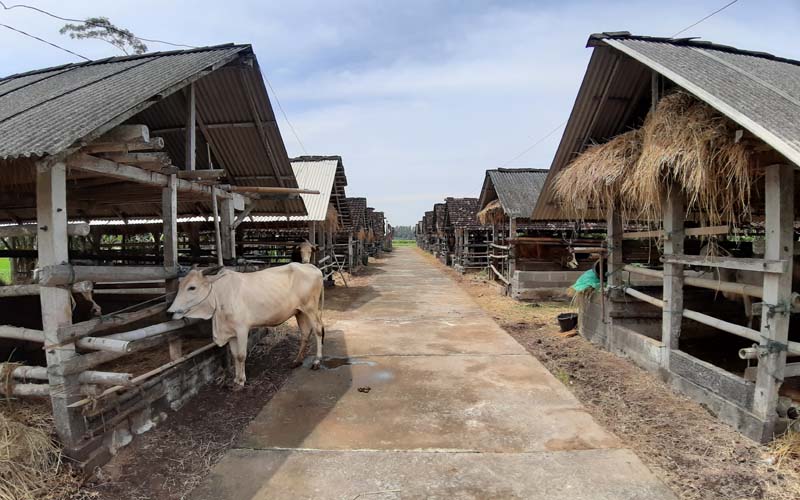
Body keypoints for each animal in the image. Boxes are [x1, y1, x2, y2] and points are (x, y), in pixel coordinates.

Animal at [167, 264, 326, 388]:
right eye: (180, 286)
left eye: (192, 287)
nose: (171, 311)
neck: (219, 297)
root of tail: (313, 267)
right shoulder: (231, 333)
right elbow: (235, 355)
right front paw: (236, 379)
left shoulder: (242, 330)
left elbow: (241, 355)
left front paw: (242, 381)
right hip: (300, 312)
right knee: (305, 333)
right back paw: (297, 360)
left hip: (311, 309)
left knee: (318, 331)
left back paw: (317, 361)